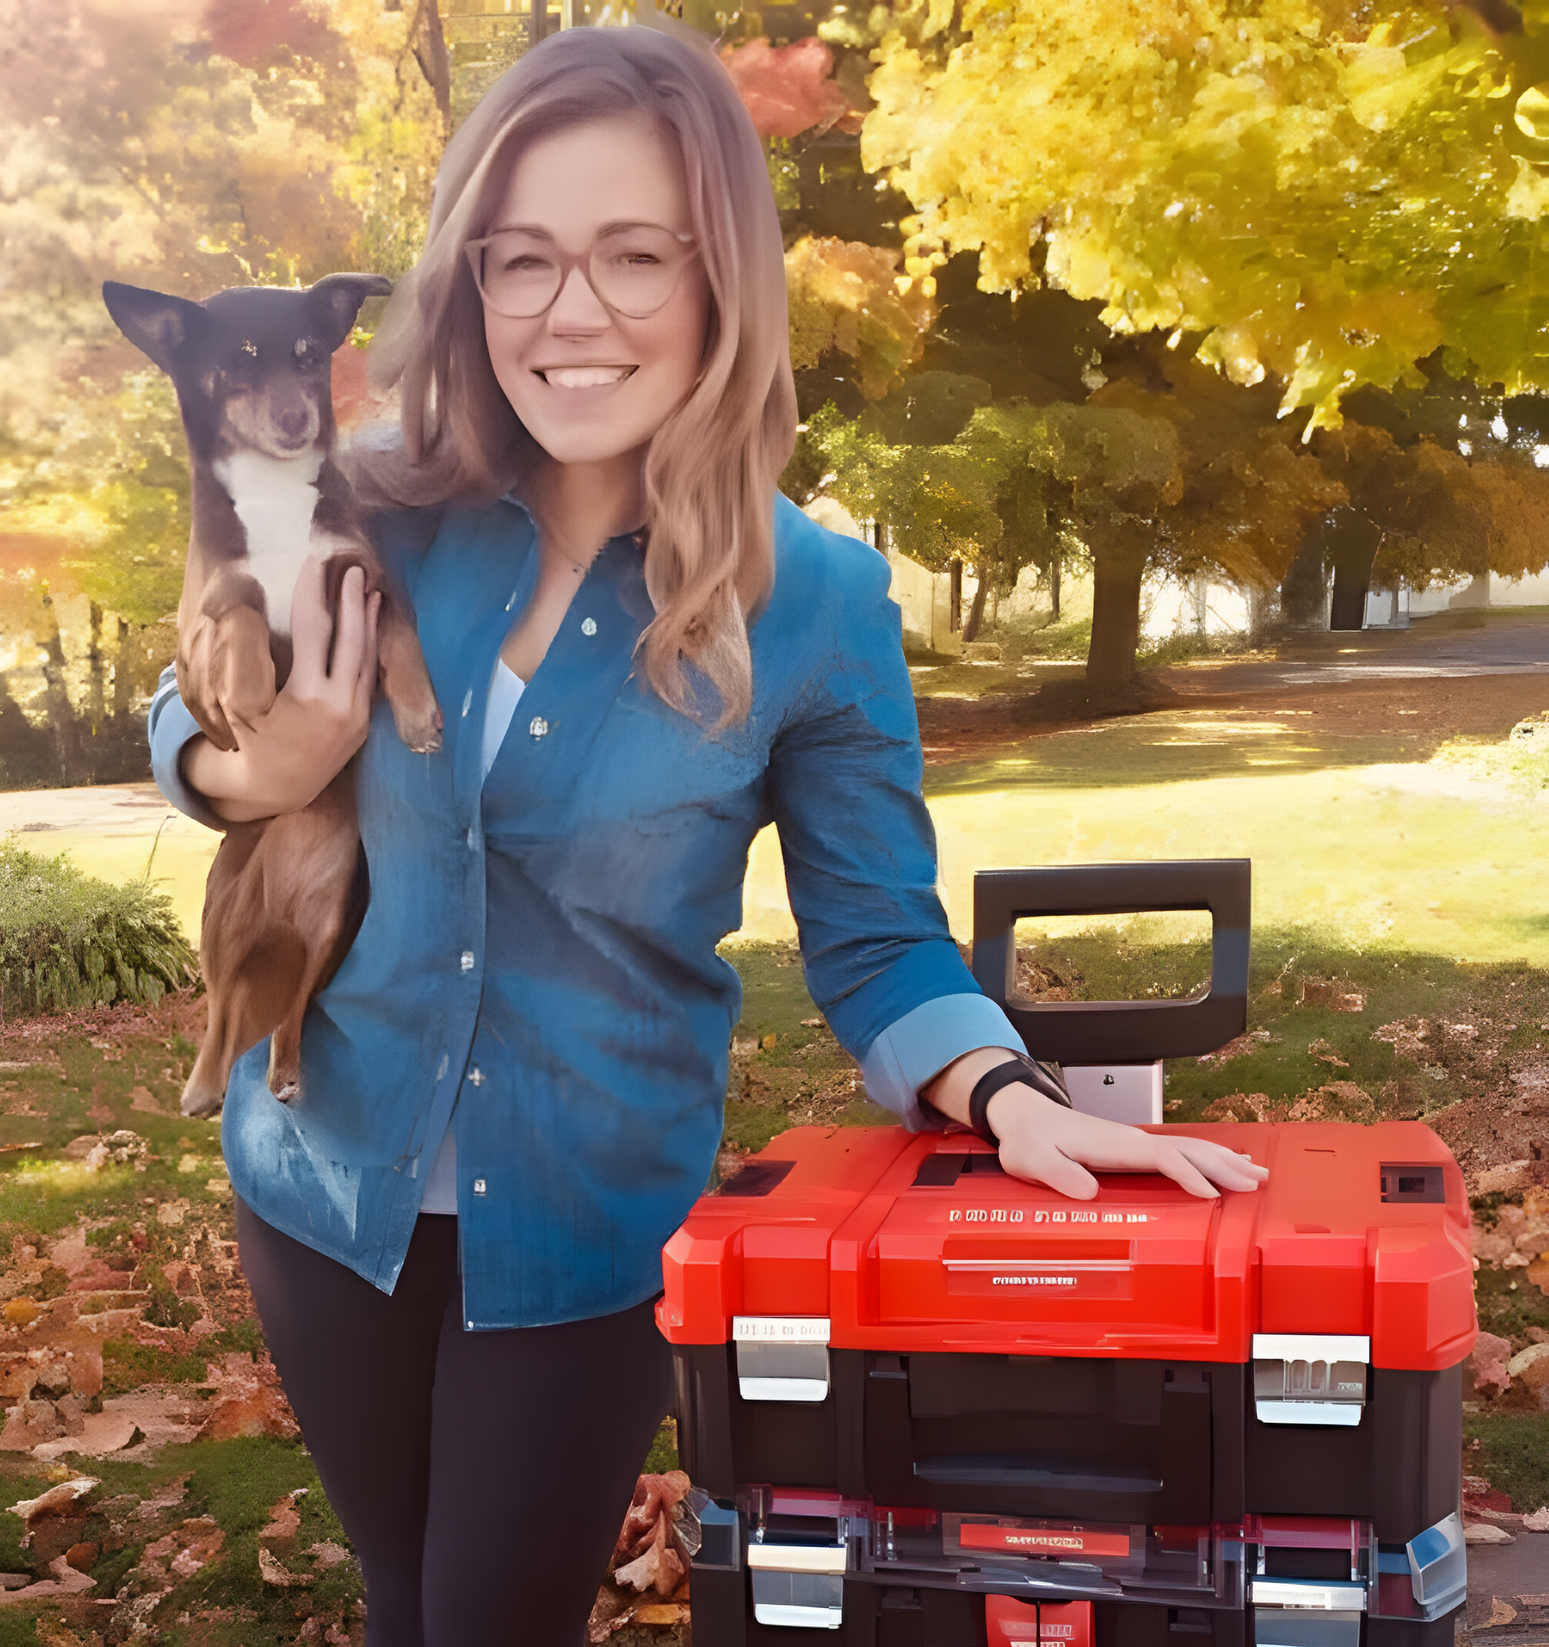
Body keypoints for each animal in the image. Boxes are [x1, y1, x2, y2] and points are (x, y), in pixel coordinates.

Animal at [104, 276, 441, 1119]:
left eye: (309, 356)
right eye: (239, 361)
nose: (295, 418)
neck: (278, 500)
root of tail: (277, 920)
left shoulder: (364, 579)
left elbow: (401, 639)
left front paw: (419, 712)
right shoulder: (202, 625)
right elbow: (242, 614)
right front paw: (251, 687)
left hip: (329, 923)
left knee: (289, 1012)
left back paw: (284, 1068)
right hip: (219, 916)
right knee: (222, 1007)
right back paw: (202, 1083)